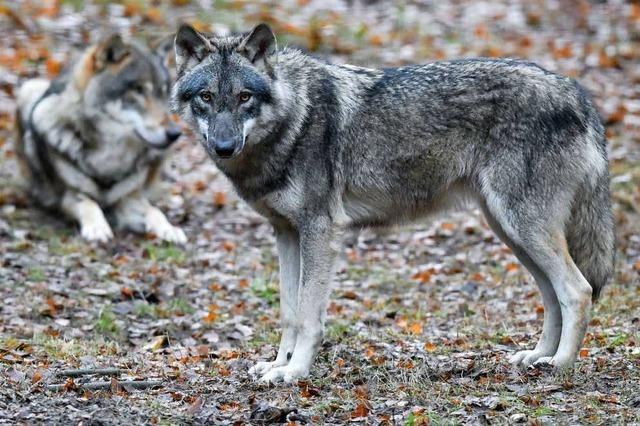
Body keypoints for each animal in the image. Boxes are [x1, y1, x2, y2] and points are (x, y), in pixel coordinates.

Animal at [15, 34, 185, 243]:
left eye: (163, 92)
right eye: (138, 90)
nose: (175, 133)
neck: (109, 157)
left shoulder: (127, 199)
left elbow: (154, 211)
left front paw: (169, 229)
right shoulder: (70, 196)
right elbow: (89, 204)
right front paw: (97, 228)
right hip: (29, 88)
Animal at [170, 23, 616, 382]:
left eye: (244, 96)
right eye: (206, 97)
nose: (224, 147)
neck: (293, 120)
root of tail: (577, 93)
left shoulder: (320, 231)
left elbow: (310, 315)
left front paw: (295, 373)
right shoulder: (285, 233)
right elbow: (289, 313)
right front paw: (278, 365)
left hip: (523, 227)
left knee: (577, 290)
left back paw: (560, 365)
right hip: (512, 232)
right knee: (553, 296)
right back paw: (537, 356)